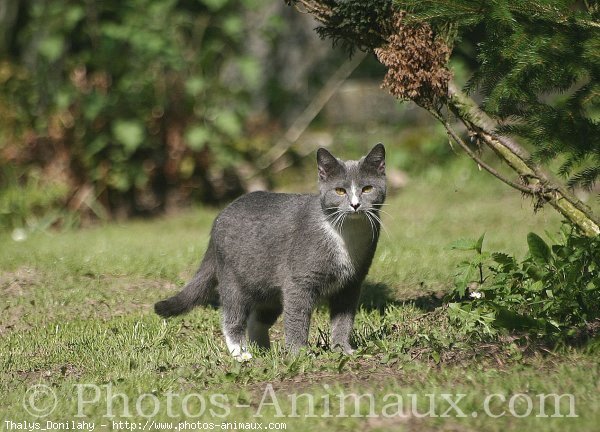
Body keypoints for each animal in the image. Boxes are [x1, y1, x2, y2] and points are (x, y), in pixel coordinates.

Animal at [155, 143, 386, 360]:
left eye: (367, 189)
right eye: (340, 191)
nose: (355, 205)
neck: (347, 234)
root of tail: (219, 216)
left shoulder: (351, 284)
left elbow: (344, 320)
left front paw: (343, 350)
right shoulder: (299, 282)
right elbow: (297, 319)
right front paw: (299, 353)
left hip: (269, 288)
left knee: (257, 320)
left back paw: (263, 351)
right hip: (232, 278)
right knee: (233, 316)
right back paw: (241, 354)